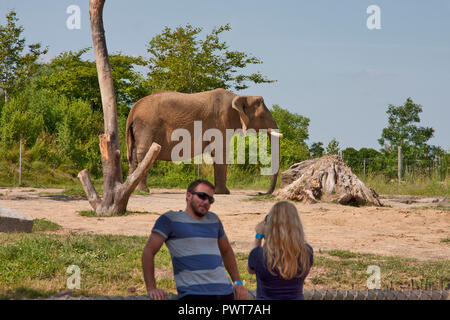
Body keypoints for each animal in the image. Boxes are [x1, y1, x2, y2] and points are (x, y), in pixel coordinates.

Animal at [125, 89, 282, 196]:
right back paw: (143, 191)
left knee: (134, 156)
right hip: (147, 126)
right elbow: (220, 152)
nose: (261, 193)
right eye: (262, 117)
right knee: (144, 153)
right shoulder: (220, 122)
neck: (239, 97)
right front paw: (224, 193)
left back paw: (132, 189)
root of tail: (133, 110)